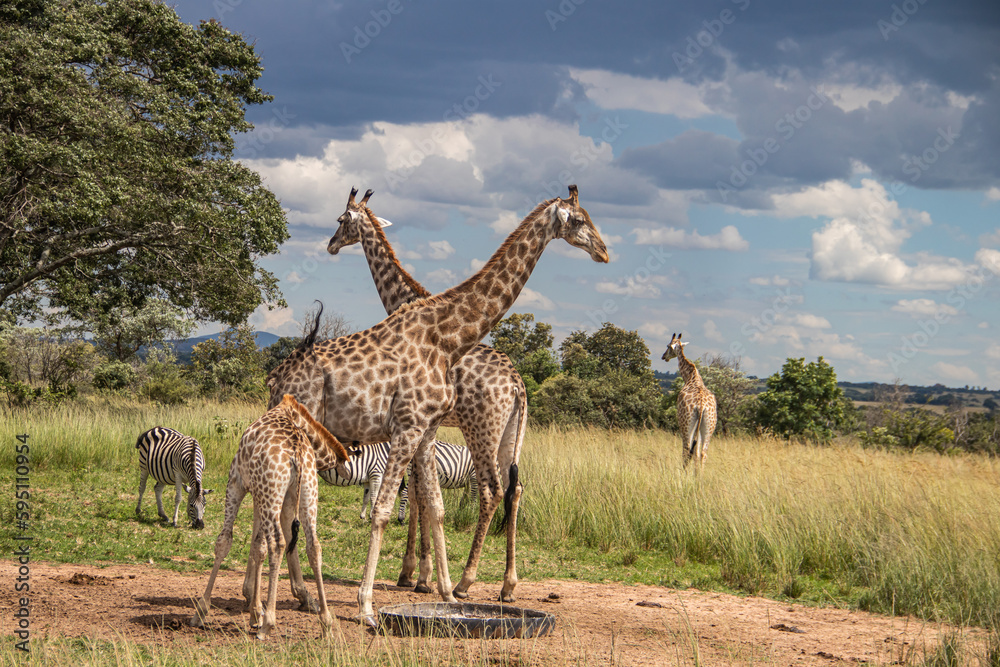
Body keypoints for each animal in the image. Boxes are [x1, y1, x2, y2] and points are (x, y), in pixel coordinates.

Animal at [190, 394, 349, 638]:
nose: (346, 472)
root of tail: (297, 451)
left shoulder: (237, 483)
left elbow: (225, 542)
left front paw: (201, 610)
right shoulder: (263, 495)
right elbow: (258, 547)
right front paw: (256, 611)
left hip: (270, 491)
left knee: (277, 543)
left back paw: (269, 623)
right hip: (305, 493)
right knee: (313, 546)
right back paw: (326, 622)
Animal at [662, 333, 718, 468]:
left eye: (668, 345)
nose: (663, 356)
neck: (690, 377)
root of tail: (701, 406)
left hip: (686, 424)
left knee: (687, 450)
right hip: (709, 425)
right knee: (702, 453)